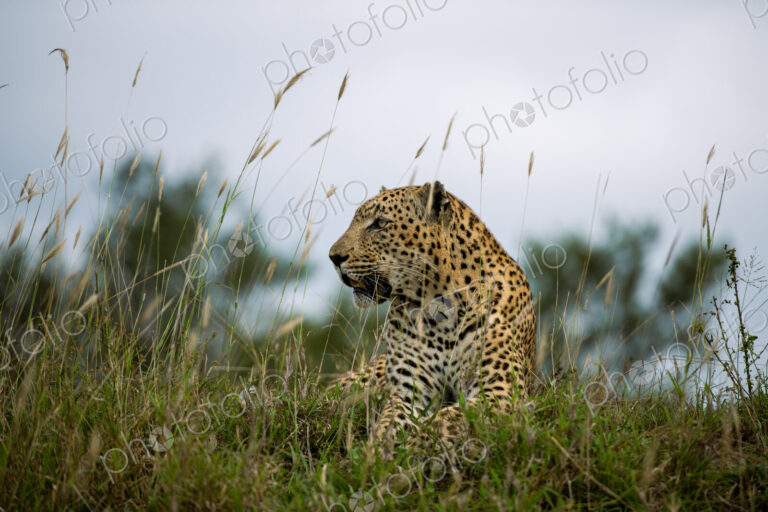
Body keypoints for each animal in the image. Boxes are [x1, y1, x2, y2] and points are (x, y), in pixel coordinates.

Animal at [328, 181, 536, 451]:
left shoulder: (500, 390)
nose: (333, 257)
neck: (439, 306)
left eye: (380, 223)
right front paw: (377, 450)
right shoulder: (409, 391)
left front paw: (410, 446)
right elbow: (389, 423)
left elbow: (445, 420)